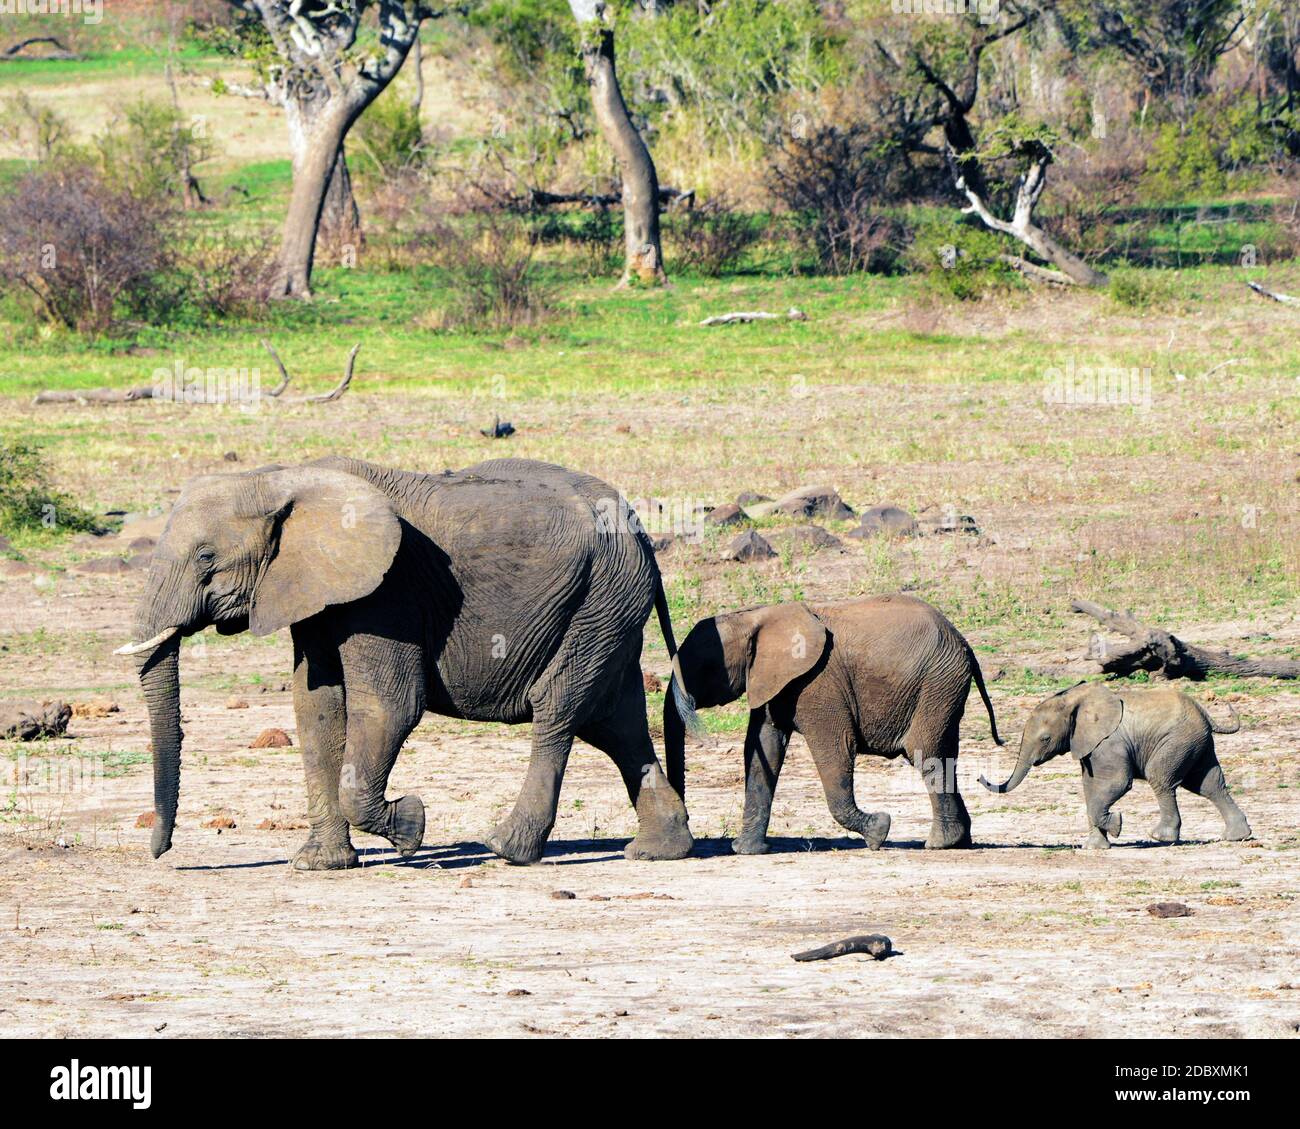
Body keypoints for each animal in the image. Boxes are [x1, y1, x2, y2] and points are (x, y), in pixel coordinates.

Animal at [116, 455, 696, 868]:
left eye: (206, 557)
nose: (160, 853)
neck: (280, 477)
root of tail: (642, 532)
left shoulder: (388, 590)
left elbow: (388, 707)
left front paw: (412, 829)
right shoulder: (318, 592)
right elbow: (317, 707)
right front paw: (320, 864)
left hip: (601, 598)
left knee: (559, 708)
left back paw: (507, 849)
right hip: (608, 605)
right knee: (616, 722)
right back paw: (659, 850)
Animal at [665, 595, 998, 853]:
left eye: (705, 667)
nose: (686, 820)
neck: (756, 616)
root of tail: (965, 644)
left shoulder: (818, 683)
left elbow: (835, 748)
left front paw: (880, 831)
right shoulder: (772, 681)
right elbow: (763, 751)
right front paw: (747, 850)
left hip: (937, 684)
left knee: (925, 754)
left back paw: (939, 843)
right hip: (942, 688)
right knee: (945, 753)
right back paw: (959, 841)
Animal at [982, 681, 1248, 848]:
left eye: (1045, 738)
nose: (980, 777)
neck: (1074, 700)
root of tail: (1206, 714)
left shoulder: (1109, 743)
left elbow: (1116, 783)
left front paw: (1117, 824)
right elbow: (1090, 787)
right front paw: (1095, 846)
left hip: (1178, 740)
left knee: (1161, 779)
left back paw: (1160, 836)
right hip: (1196, 743)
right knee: (1209, 784)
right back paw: (1236, 837)